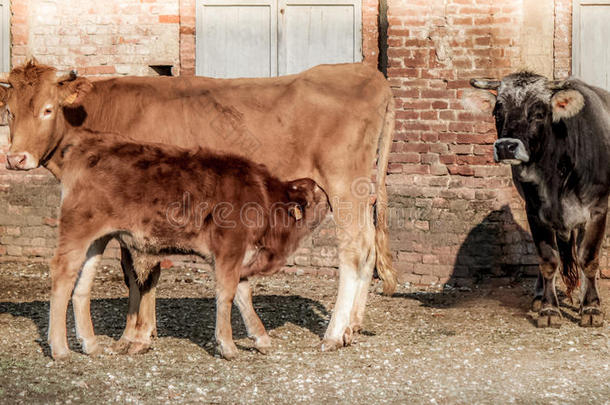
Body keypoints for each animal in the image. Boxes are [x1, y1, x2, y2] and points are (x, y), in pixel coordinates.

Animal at [50, 128, 330, 358]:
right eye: (317, 192)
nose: (330, 196)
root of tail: (90, 143)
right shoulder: (229, 251)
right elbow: (227, 295)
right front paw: (227, 345)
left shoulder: (241, 257)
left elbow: (243, 296)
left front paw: (260, 338)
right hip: (77, 232)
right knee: (62, 277)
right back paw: (60, 349)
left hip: (97, 241)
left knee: (81, 286)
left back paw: (90, 345)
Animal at [466, 71, 608, 326]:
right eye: (497, 112)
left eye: (539, 113)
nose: (506, 147)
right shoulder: (534, 211)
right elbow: (548, 260)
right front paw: (549, 309)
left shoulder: (598, 210)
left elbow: (589, 258)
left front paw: (591, 308)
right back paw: (539, 297)